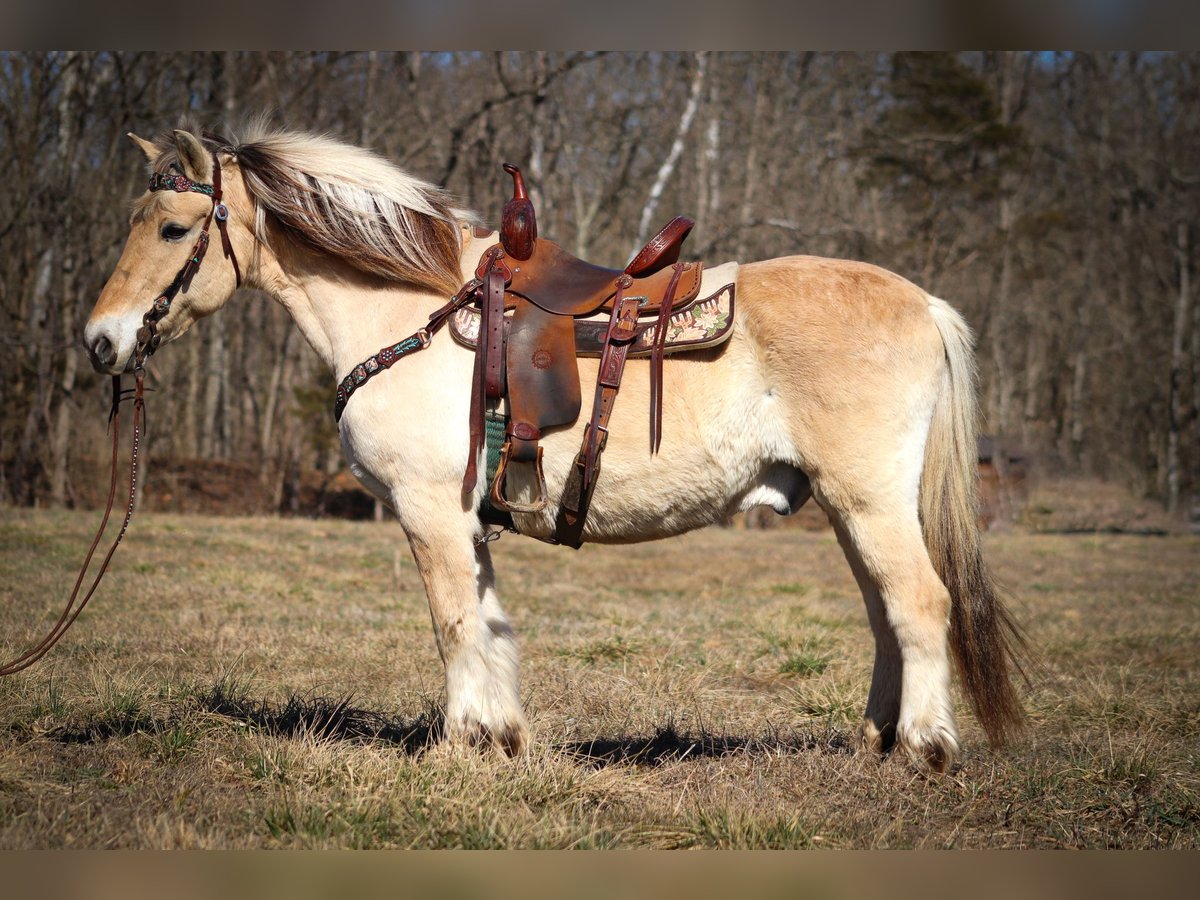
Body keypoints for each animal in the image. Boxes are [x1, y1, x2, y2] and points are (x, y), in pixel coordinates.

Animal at [82, 127, 1022, 777]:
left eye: (172, 229)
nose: (101, 342)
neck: (410, 315)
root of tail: (924, 302)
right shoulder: (467, 517)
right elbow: (490, 621)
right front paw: (501, 738)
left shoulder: (429, 509)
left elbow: (453, 622)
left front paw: (456, 747)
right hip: (851, 507)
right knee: (884, 614)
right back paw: (877, 738)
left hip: (869, 501)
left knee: (920, 605)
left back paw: (926, 747)